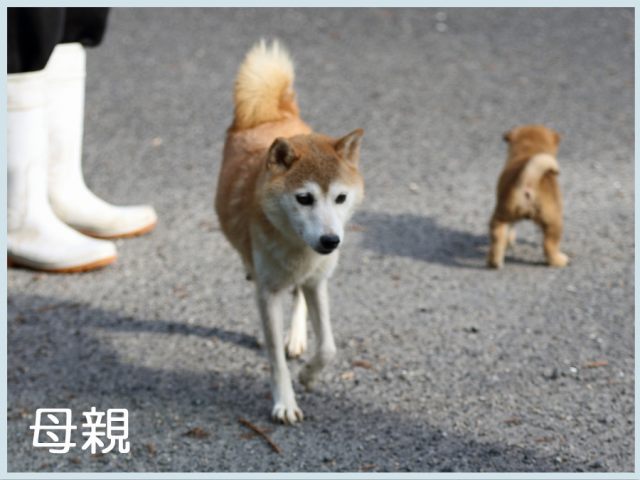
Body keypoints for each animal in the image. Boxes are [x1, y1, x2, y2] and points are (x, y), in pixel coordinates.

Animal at [215, 41, 364, 424]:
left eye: (340, 197)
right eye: (304, 198)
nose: (330, 241)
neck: (299, 249)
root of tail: (273, 114)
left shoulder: (317, 281)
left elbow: (328, 346)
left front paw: (309, 375)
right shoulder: (268, 290)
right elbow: (275, 360)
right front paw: (284, 403)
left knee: (297, 299)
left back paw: (295, 337)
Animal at [488, 124, 568, 268]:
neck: (529, 150)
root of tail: (528, 181)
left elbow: (510, 232)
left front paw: (510, 241)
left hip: (502, 214)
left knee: (498, 237)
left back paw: (494, 262)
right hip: (554, 221)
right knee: (549, 245)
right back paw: (560, 260)